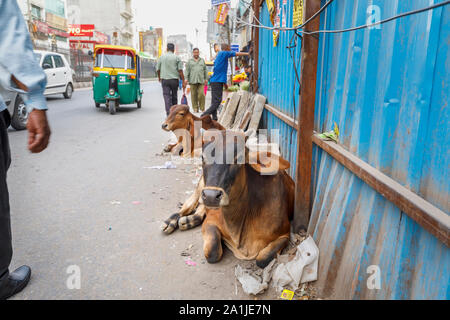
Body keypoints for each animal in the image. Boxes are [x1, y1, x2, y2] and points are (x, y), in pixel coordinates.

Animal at [201, 130, 296, 268]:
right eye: (202, 157)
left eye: (239, 158)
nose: (210, 196)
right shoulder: (210, 221)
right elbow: (212, 253)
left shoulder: (284, 233)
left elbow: (262, 259)